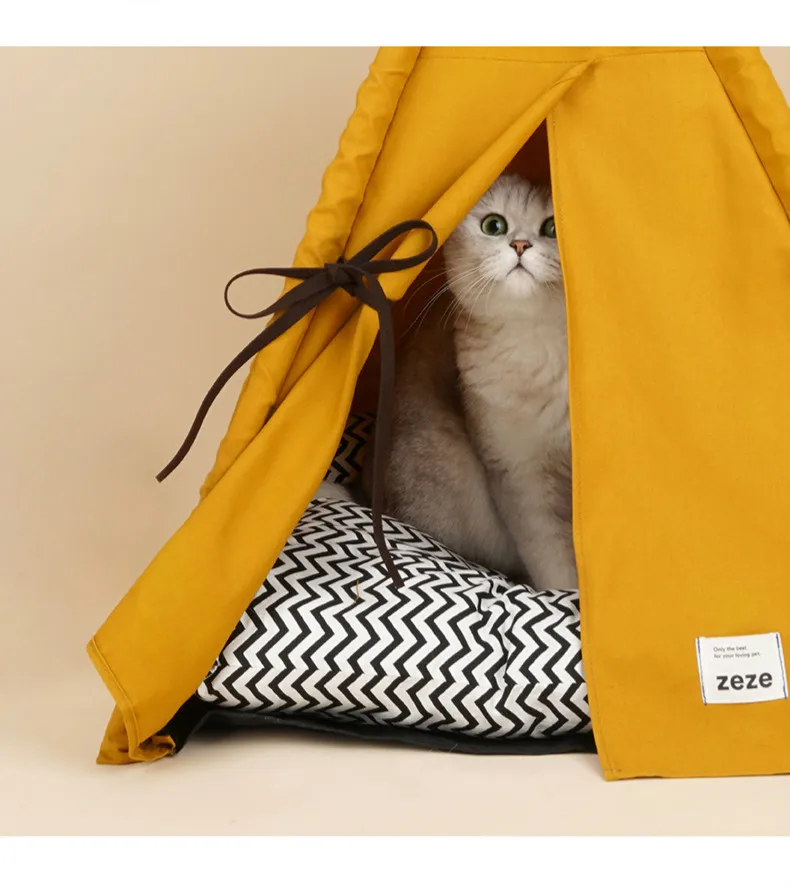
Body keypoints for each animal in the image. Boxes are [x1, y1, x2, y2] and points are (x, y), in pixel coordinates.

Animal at [364, 173, 576, 588]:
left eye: (552, 228)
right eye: (494, 226)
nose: (520, 245)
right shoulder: (522, 476)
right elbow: (554, 560)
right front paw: (566, 595)